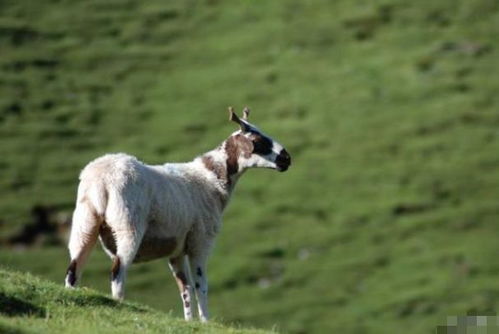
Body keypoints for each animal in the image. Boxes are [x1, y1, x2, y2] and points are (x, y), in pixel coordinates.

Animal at [65, 107, 292, 320]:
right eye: (256, 140)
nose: (287, 159)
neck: (212, 178)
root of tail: (101, 180)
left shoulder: (176, 250)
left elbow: (185, 289)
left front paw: (189, 321)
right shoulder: (200, 242)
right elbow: (201, 286)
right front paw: (205, 321)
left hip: (85, 222)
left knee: (73, 269)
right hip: (127, 224)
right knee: (118, 271)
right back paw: (120, 304)